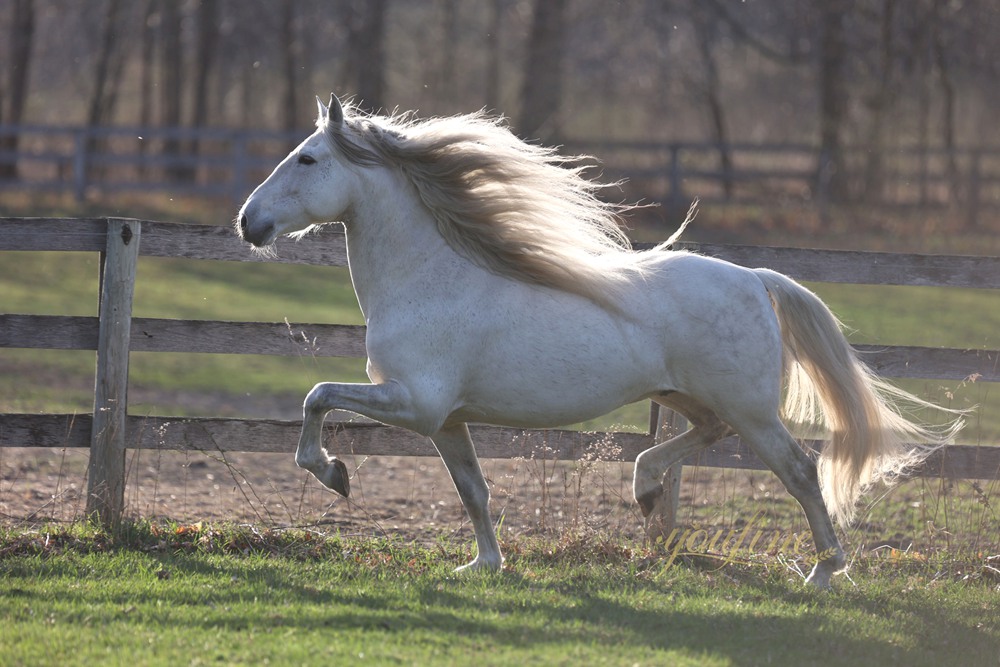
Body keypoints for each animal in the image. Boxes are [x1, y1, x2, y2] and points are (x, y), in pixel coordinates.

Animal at [236, 94, 961, 587]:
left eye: (307, 158)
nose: (250, 222)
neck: (431, 278)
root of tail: (757, 279)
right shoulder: (446, 420)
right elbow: (474, 491)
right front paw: (485, 564)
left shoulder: (414, 402)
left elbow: (316, 395)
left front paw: (333, 473)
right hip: (693, 396)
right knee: (707, 436)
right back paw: (645, 487)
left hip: (752, 408)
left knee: (800, 470)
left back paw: (822, 572)